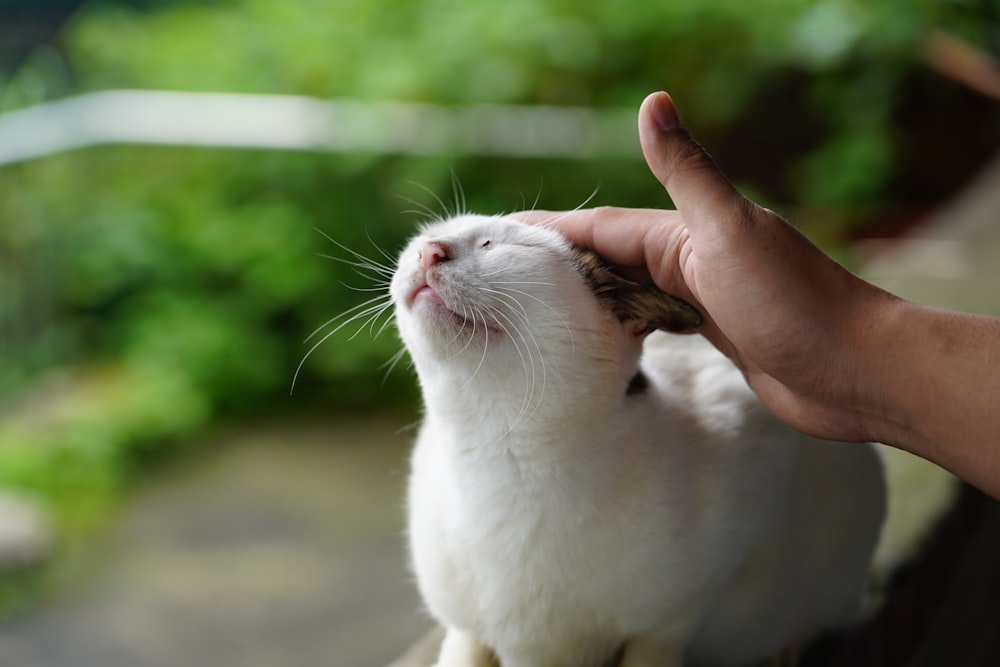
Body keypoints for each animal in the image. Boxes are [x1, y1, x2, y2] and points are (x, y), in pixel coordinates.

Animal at [390, 215, 884, 667]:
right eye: (425, 237)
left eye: (492, 245)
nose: (430, 251)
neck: (498, 461)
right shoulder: (465, 628)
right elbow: (463, 650)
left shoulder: (716, 561)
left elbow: (654, 647)